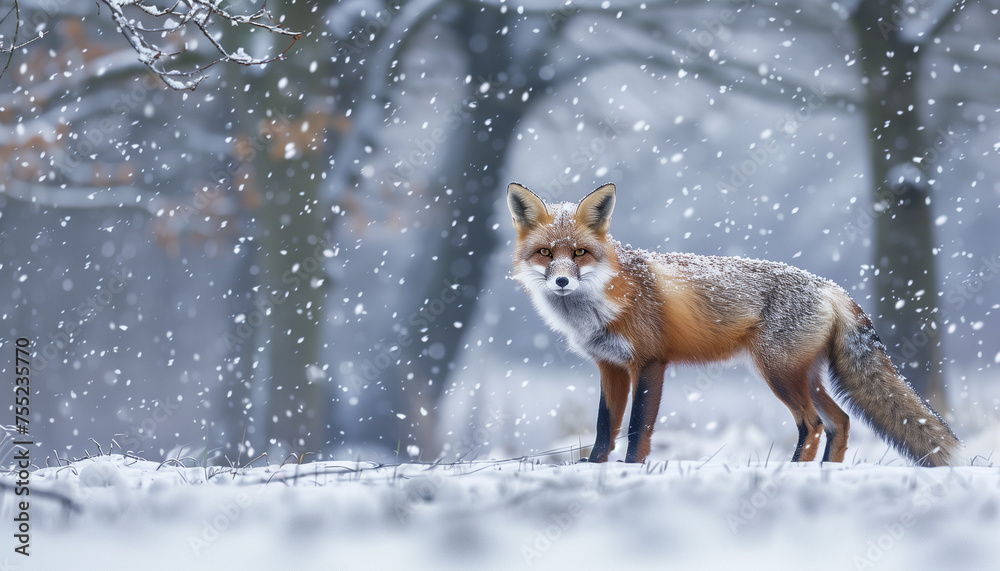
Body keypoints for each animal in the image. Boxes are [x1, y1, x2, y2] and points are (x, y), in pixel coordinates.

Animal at [506, 182, 961, 467]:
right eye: (545, 253)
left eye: (580, 253)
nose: (562, 281)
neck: (605, 300)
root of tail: (829, 286)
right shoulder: (610, 366)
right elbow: (604, 427)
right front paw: (594, 467)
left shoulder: (650, 362)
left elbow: (636, 429)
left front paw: (630, 469)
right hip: (805, 375)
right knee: (841, 422)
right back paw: (824, 474)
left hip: (778, 373)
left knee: (813, 424)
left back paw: (792, 472)